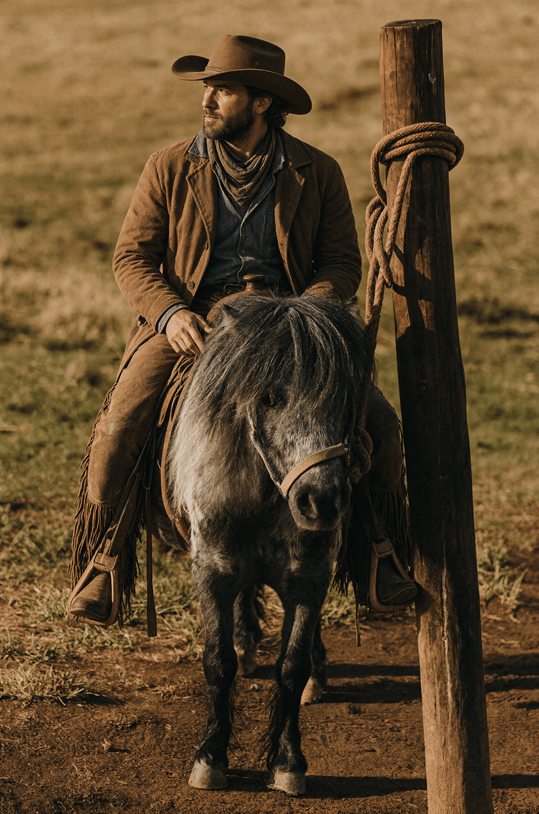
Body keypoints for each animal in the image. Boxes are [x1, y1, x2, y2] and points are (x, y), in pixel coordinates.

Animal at [162, 294, 373, 796]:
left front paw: (288, 762)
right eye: (270, 398)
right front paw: (210, 757)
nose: (322, 501)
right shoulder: (212, 572)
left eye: (346, 399)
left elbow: (292, 666)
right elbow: (217, 663)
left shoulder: (311, 578)